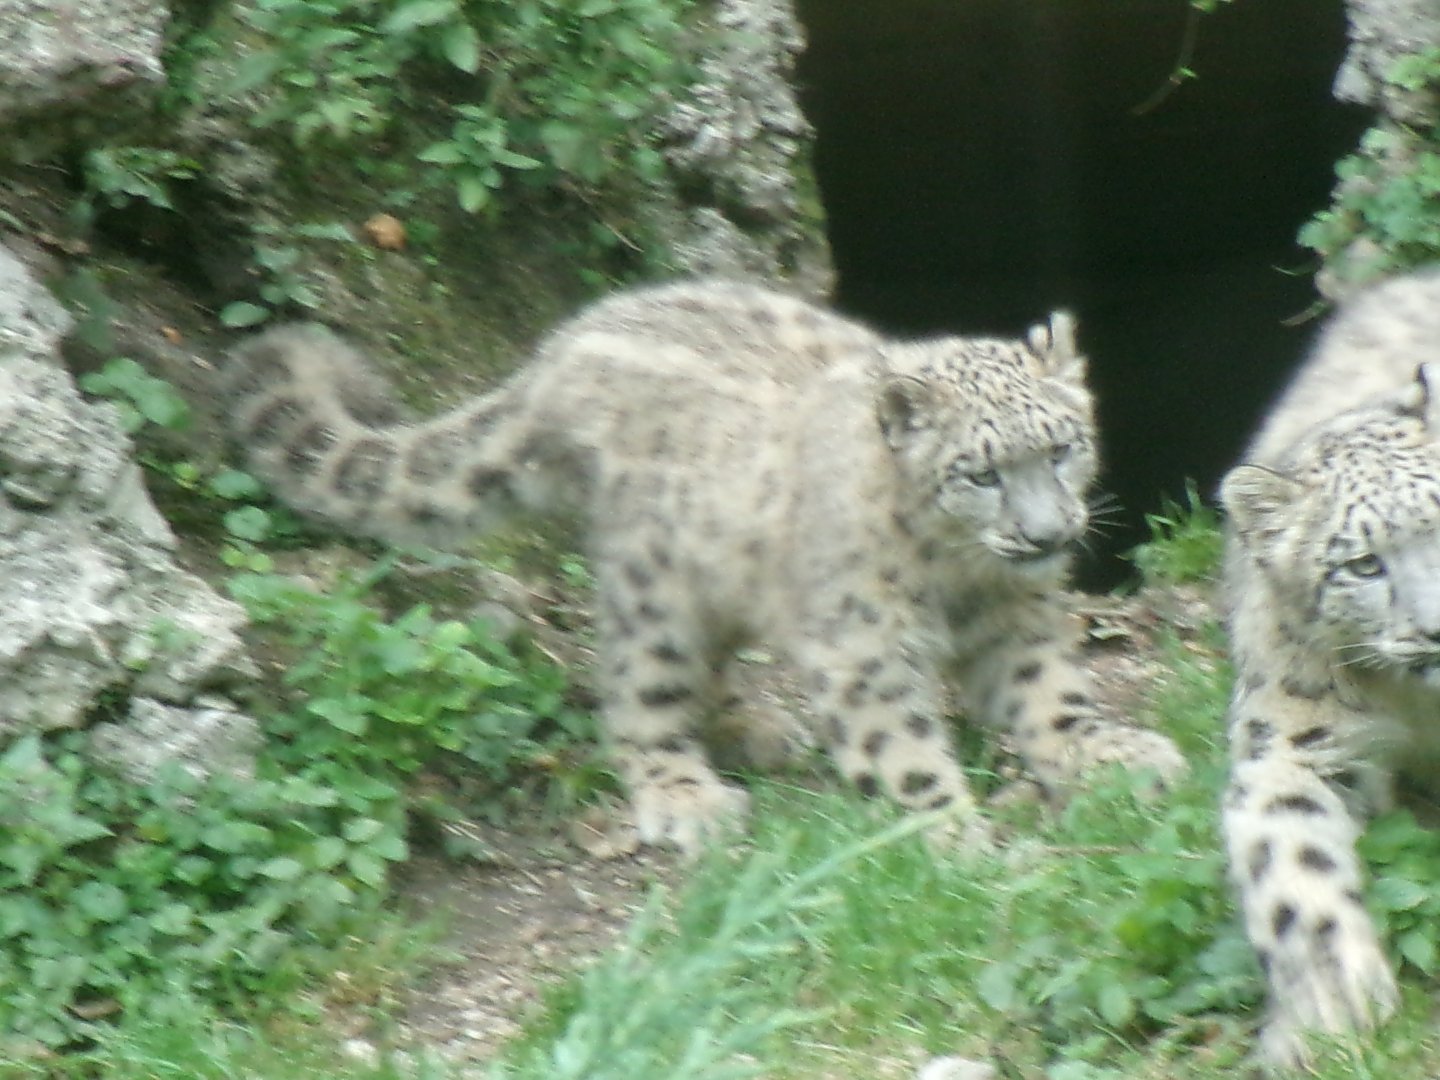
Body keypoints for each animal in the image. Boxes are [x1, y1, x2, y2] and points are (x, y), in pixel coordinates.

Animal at [221, 278, 1186, 853]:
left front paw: (1113, 755)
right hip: (654, 592)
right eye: (979, 474)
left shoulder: (1015, 617)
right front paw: (956, 838)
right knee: (637, 697)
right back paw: (688, 795)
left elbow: (1047, 693)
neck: (960, 578)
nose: (1046, 533)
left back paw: (751, 730)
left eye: (1063, 447)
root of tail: (555, 355)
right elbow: (901, 748)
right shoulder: (863, 649)